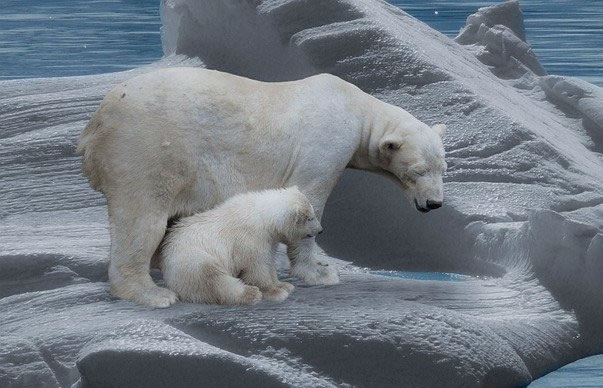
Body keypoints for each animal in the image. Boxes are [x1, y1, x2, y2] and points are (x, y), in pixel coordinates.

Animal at [78, 68, 446, 308]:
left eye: (443, 169)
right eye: (417, 172)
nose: (435, 204)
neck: (356, 108)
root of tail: (94, 125)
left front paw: (323, 264)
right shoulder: (323, 146)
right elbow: (310, 197)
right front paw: (319, 272)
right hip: (145, 149)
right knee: (143, 220)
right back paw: (153, 293)